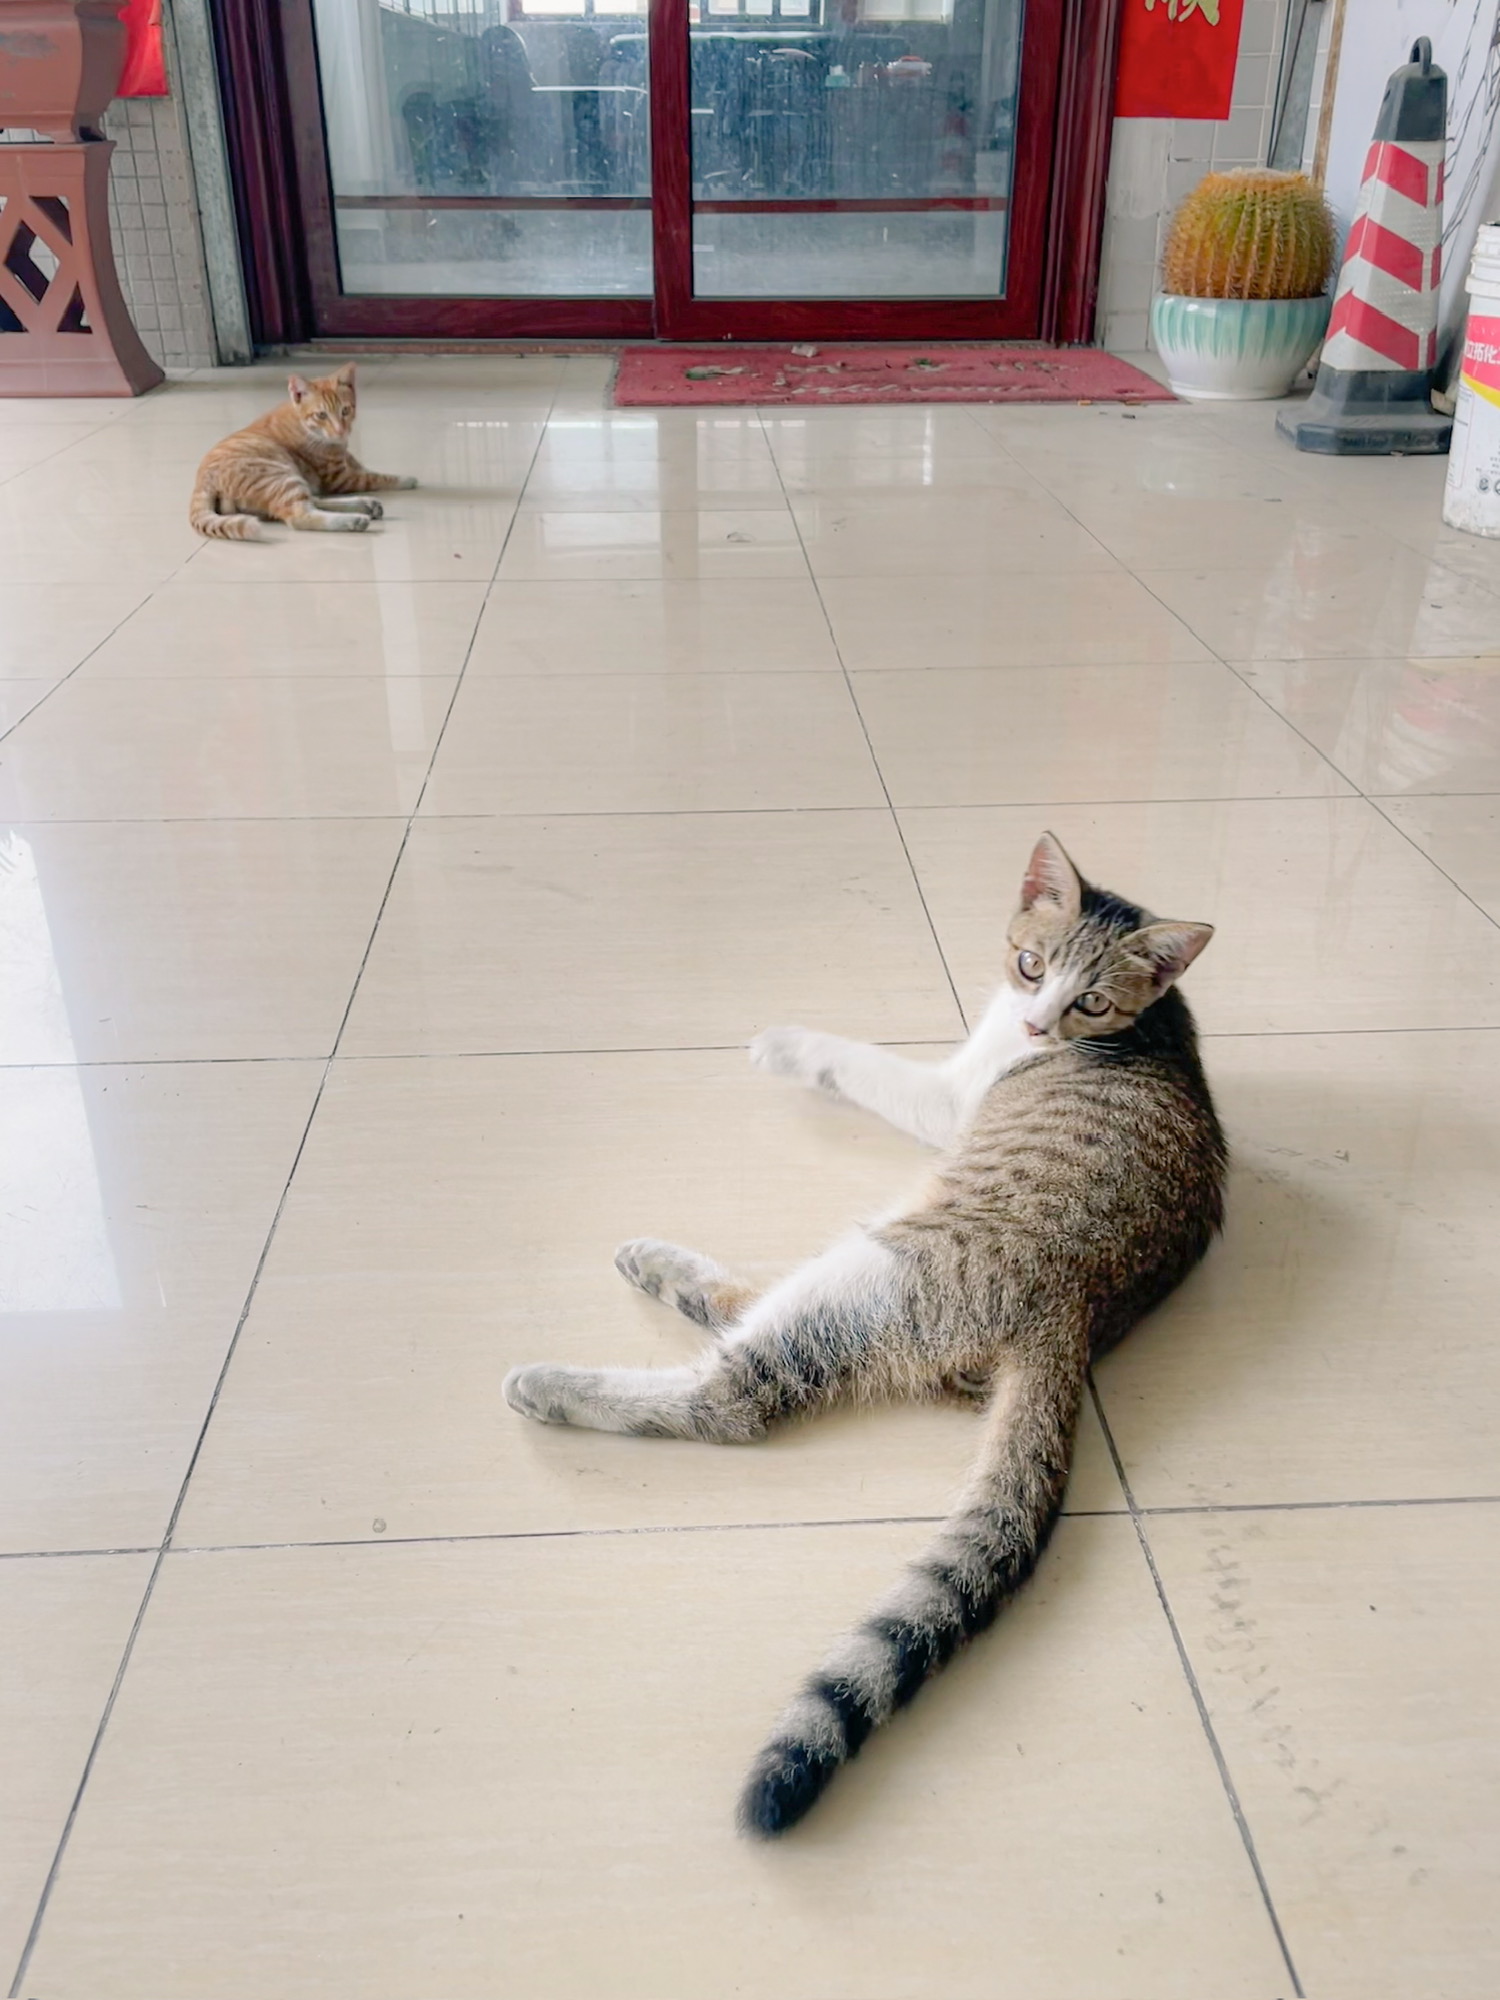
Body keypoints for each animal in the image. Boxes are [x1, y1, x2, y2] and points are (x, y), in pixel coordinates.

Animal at [188, 363, 415, 540]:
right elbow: (378, 477)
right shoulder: (342, 479)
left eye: (345, 410)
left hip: (288, 480)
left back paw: (364, 503)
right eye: (321, 415)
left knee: (311, 500)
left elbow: (364, 468)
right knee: (301, 515)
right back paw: (354, 519)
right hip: (280, 476)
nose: (340, 431)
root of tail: (201, 483)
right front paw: (407, 479)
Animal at [503, 832, 1226, 1837]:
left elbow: (864, 1063)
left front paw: (789, 1042)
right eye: (1030, 964)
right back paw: (658, 1267)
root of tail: (1077, 1313)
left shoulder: (949, 1099)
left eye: (1090, 1001)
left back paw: (554, 1382)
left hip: (884, 1258)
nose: (1036, 1025)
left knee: (737, 1395)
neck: (1148, 1020)